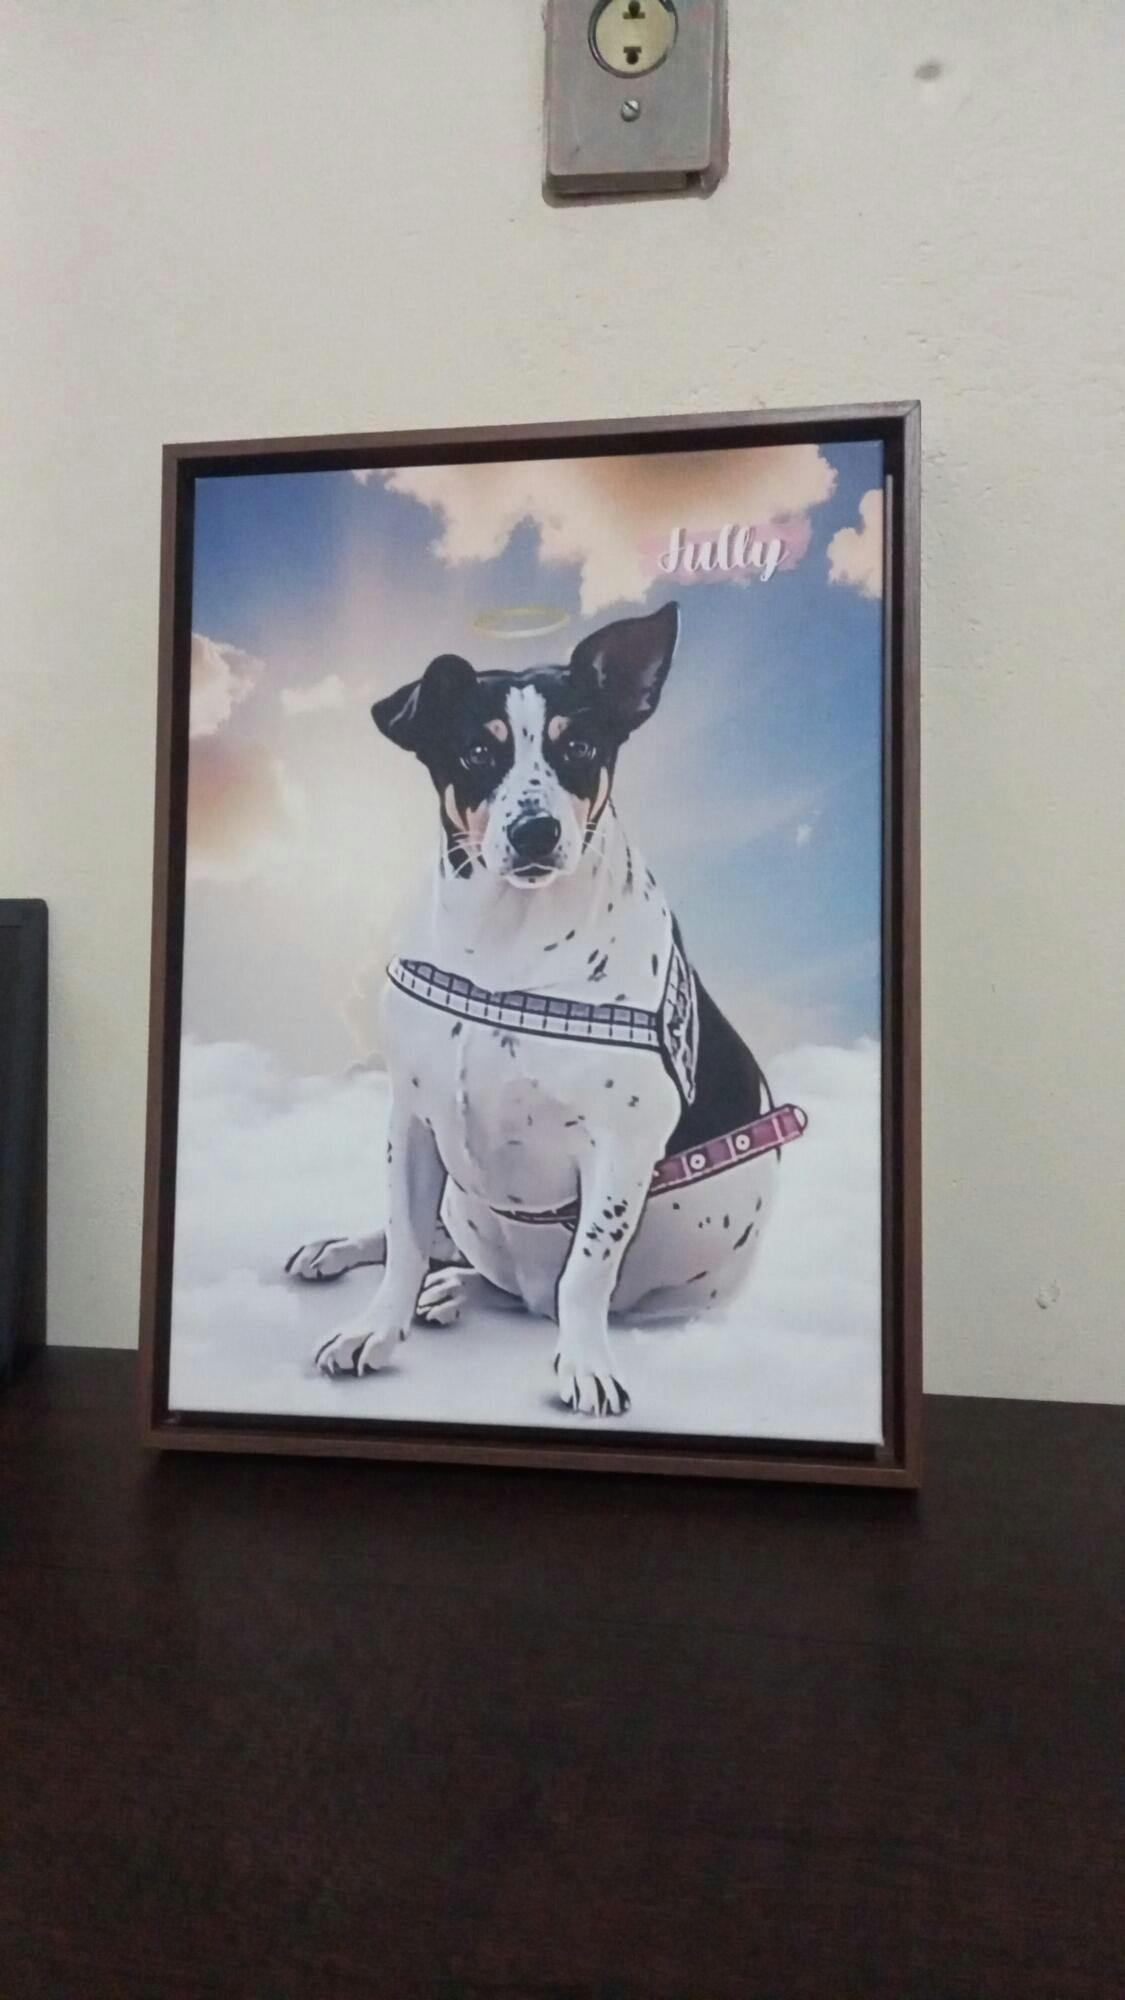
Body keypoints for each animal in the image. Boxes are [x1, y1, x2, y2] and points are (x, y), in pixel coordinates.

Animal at [287, 601, 806, 1417]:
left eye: (580, 746)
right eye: (476, 750)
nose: (536, 831)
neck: (506, 948)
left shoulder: (620, 1146)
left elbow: (585, 1274)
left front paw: (584, 1367)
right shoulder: (412, 1119)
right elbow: (404, 1237)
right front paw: (374, 1329)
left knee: (514, 1286)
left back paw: (452, 1294)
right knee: (435, 1243)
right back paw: (347, 1254)